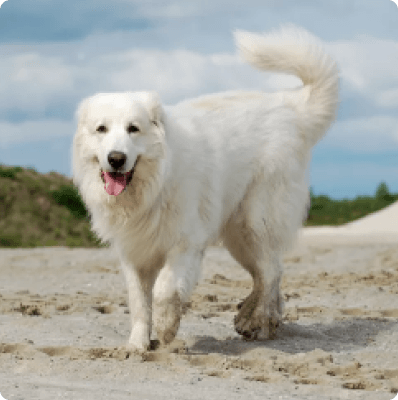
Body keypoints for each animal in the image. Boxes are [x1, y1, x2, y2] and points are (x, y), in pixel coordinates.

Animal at [72, 24, 338, 350]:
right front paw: (137, 345)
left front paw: (166, 328)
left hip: (256, 221)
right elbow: (139, 302)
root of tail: (290, 107)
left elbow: (164, 291)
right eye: (102, 129)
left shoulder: (185, 243)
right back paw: (258, 319)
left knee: (271, 271)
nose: (116, 159)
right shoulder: (134, 253)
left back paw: (258, 322)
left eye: (133, 128)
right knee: (267, 273)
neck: (153, 188)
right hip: (238, 237)